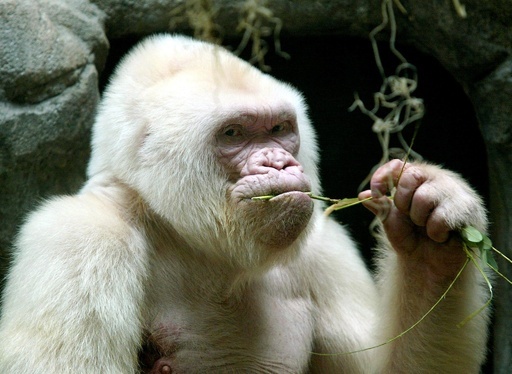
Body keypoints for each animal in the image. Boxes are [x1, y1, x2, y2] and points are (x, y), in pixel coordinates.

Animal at [0, 34, 490, 372]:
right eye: (233, 134)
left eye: (278, 129)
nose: (278, 162)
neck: (185, 235)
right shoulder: (80, 239)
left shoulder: (323, 246)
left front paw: (427, 241)